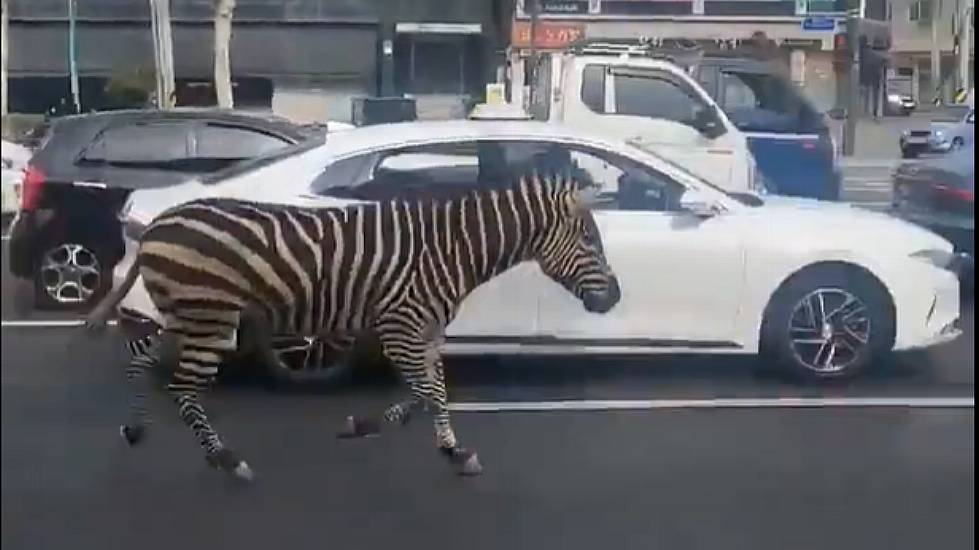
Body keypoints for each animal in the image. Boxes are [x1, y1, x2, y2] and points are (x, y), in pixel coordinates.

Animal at [113, 171, 620, 478]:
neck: (454, 249)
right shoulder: (400, 326)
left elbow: (436, 391)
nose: (615, 297)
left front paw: (453, 450)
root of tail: (157, 224)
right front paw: (362, 424)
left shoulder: (428, 331)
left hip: (189, 312)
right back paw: (225, 458)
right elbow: (424, 391)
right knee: (183, 389)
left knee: (140, 357)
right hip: (210, 316)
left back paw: (135, 428)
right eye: (589, 240)